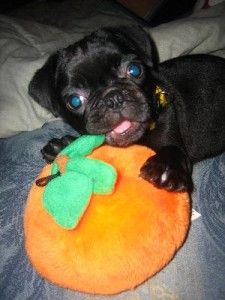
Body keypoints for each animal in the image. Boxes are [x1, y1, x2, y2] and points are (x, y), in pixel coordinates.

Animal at [29, 25, 225, 192]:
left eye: (134, 70)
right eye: (75, 101)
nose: (113, 98)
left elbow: (175, 149)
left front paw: (165, 167)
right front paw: (64, 145)